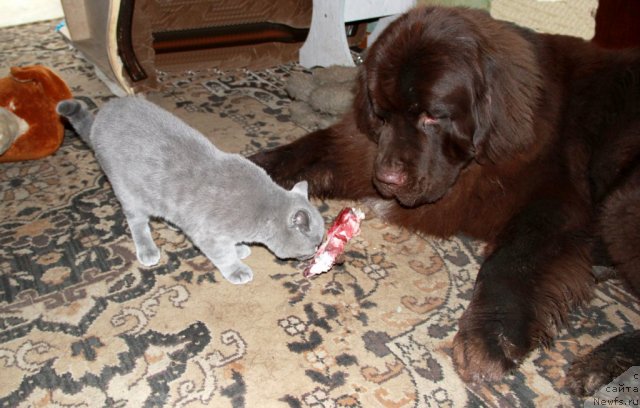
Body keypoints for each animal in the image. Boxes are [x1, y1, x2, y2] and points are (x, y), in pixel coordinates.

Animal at [56, 97, 324, 286]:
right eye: (314, 244)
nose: (314, 255)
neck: (262, 211)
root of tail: (103, 114)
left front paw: (239, 248)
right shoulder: (208, 233)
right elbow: (222, 253)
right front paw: (237, 268)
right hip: (127, 191)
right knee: (137, 223)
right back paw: (148, 250)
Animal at [251, 5, 640, 396]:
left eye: (432, 116)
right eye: (382, 114)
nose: (388, 179)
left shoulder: (554, 203)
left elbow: (509, 262)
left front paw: (489, 339)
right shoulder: (361, 152)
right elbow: (299, 152)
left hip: (621, 204)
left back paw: (599, 363)